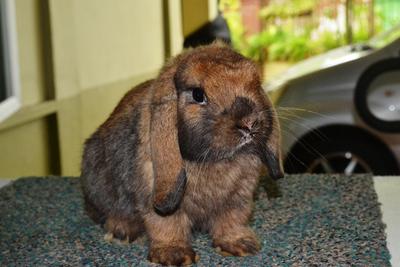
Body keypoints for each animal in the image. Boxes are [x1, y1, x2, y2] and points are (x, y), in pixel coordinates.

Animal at [80, 42, 284, 266]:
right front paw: (174, 255)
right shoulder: (157, 197)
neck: (215, 161)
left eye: (255, 84)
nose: (249, 123)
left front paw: (241, 245)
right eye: (198, 95)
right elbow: (166, 225)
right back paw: (122, 231)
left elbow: (233, 220)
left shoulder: (239, 198)